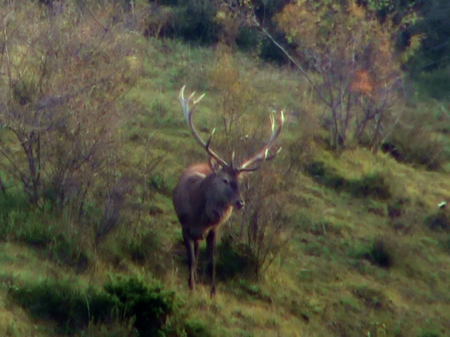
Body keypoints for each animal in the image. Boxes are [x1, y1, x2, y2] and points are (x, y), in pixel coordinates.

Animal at [173, 86, 284, 294]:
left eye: (240, 181)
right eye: (225, 180)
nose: (240, 202)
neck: (199, 215)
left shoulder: (214, 229)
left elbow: (212, 261)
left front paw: (212, 292)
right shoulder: (184, 226)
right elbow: (191, 260)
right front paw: (191, 287)